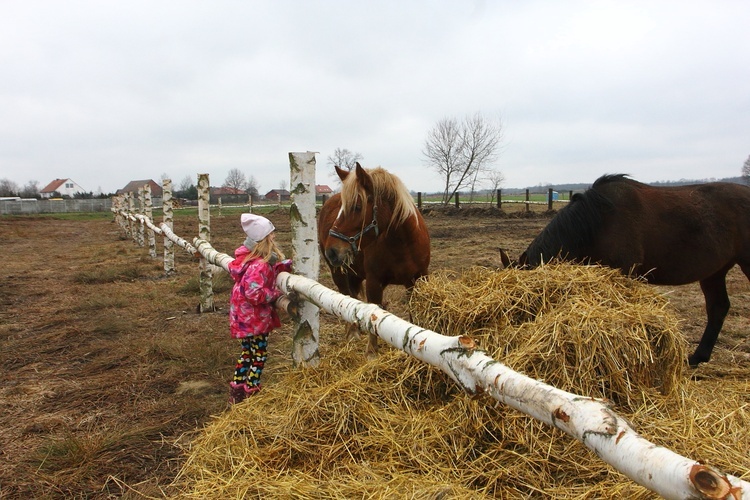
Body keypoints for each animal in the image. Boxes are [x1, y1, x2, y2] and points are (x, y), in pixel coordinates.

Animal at [318, 163, 432, 356]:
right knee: (345, 297)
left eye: (357, 207)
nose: (331, 251)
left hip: (355, 274)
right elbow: (373, 314)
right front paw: (371, 352)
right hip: (338, 273)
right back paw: (352, 333)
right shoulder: (374, 282)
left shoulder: (417, 280)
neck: (403, 244)